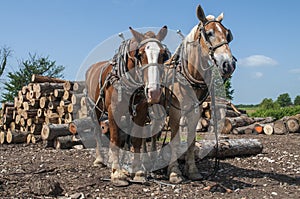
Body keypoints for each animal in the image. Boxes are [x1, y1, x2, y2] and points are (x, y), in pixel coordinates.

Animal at [85, 26, 170, 187]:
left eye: (163, 55)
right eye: (141, 54)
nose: (154, 92)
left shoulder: (141, 110)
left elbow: (135, 139)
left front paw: (137, 172)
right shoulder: (113, 110)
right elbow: (115, 139)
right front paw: (117, 174)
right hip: (96, 109)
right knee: (97, 131)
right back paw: (100, 160)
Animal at [164, 4, 237, 182]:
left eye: (227, 34)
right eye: (209, 33)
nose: (229, 64)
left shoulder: (195, 112)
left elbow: (191, 141)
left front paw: (192, 170)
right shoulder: (175, 112)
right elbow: (175, 140)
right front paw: (174, 172)